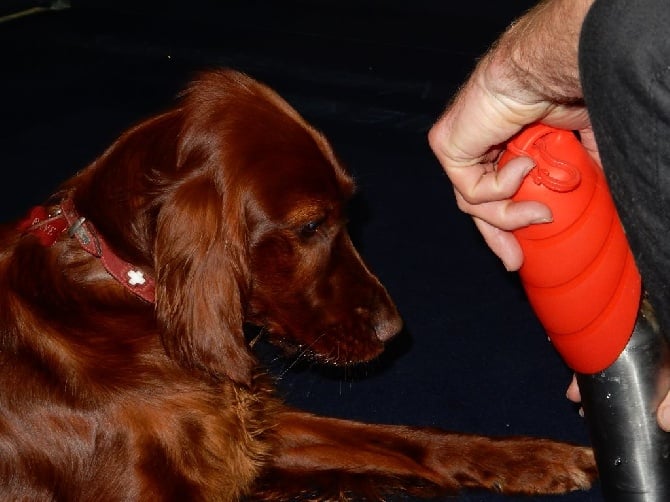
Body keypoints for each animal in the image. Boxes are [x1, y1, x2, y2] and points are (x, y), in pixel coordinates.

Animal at [0, 68, 600, 500]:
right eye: (311, 226)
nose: (394, 330)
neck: (123, 292)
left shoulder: (253, 435)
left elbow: (403, 439)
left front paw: (533, 457)